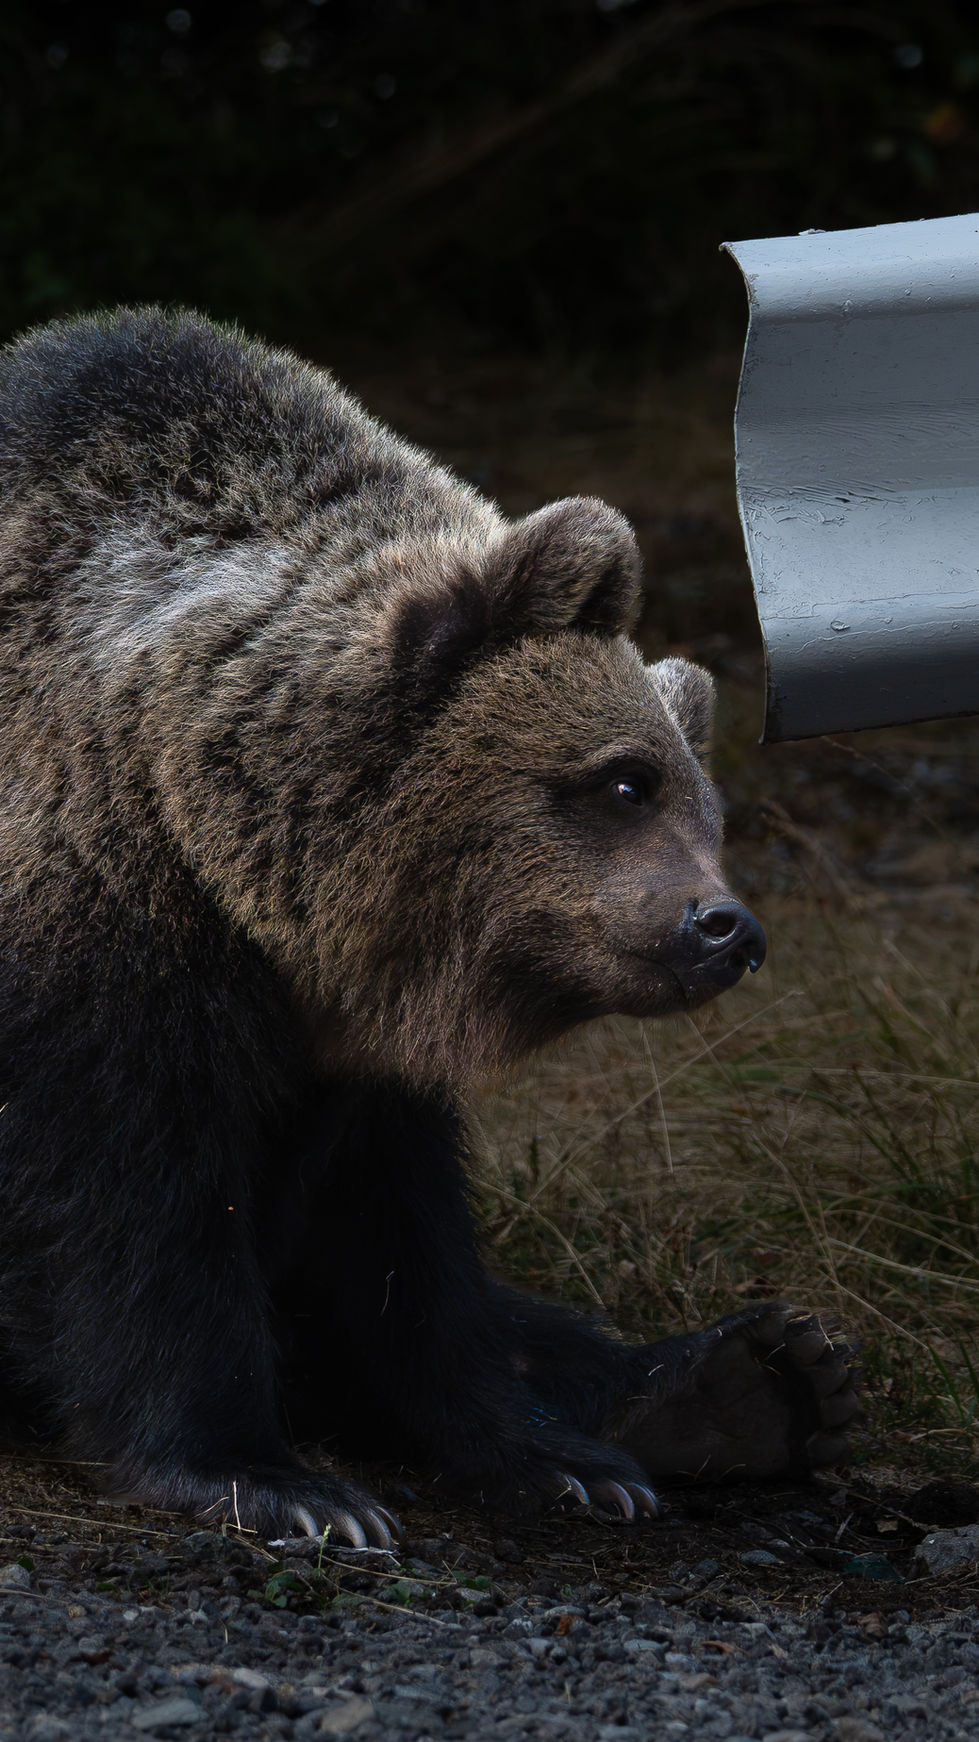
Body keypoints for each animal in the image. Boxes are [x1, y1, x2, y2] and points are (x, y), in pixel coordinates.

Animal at [0, 308, 856, 1548]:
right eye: (624, 780)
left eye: (707, 806)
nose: (725, 924)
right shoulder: (101, 946)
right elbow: (138, 1212)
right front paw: (277, 1478)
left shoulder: (350, 1051)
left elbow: (403, 1239)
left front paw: (558, 1456)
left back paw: (758, 1376)